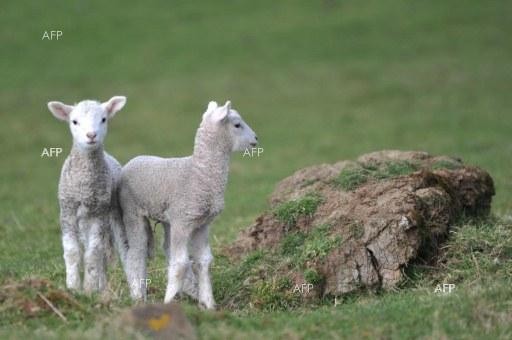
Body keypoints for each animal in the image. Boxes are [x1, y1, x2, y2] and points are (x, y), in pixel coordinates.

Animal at [48, 95, 129, 292]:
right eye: (74, 121)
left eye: (104, 119)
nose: (91, 135)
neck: (85, 186)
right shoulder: (67, 210)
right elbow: (72, 252)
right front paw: (73, 287)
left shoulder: (98, 213)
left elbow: (93, 253)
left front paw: (89, 289)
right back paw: (103, 286)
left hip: (114, 212)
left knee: (120, 250)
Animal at [118, 99, 258, 308]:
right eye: (237, 125)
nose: (256, 139)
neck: (199, 173)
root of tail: (133, 160)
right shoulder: (183, 222)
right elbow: (180, 263)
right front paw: (168, 301)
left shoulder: (202, 224)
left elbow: (204, 261)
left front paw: (208, 303)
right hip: (132, 212)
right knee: (137, 252)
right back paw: (138, 296)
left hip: (168, 219)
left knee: (166, 248)